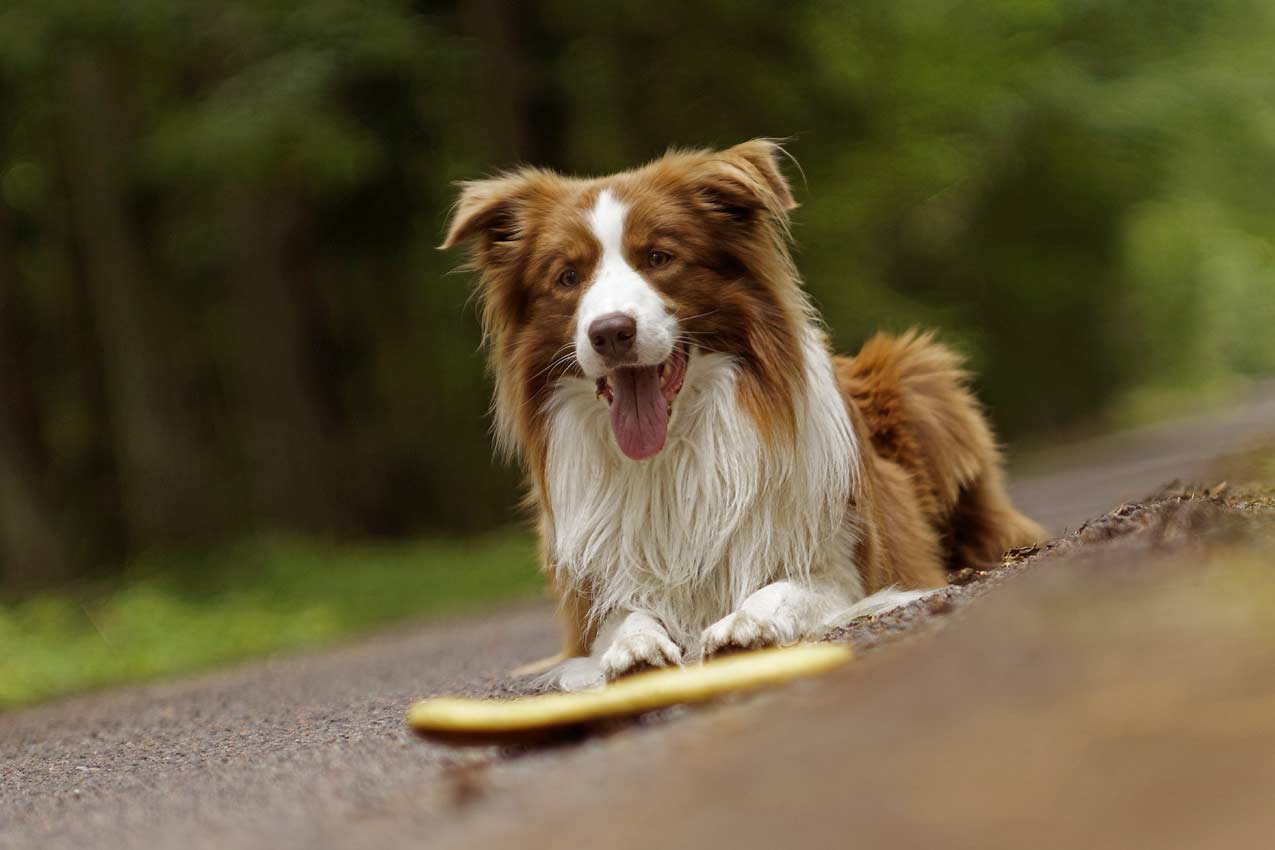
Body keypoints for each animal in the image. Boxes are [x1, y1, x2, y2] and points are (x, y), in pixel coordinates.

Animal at [443, 139, 1040, 693]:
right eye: (568, 276)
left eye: (658, 258)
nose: (610, 331)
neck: (674, 450)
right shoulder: (596, 594)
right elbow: (623, 618)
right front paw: (634, 647)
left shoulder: (850, 563)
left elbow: (788, 589)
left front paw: (746, 623)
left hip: (918, 372)